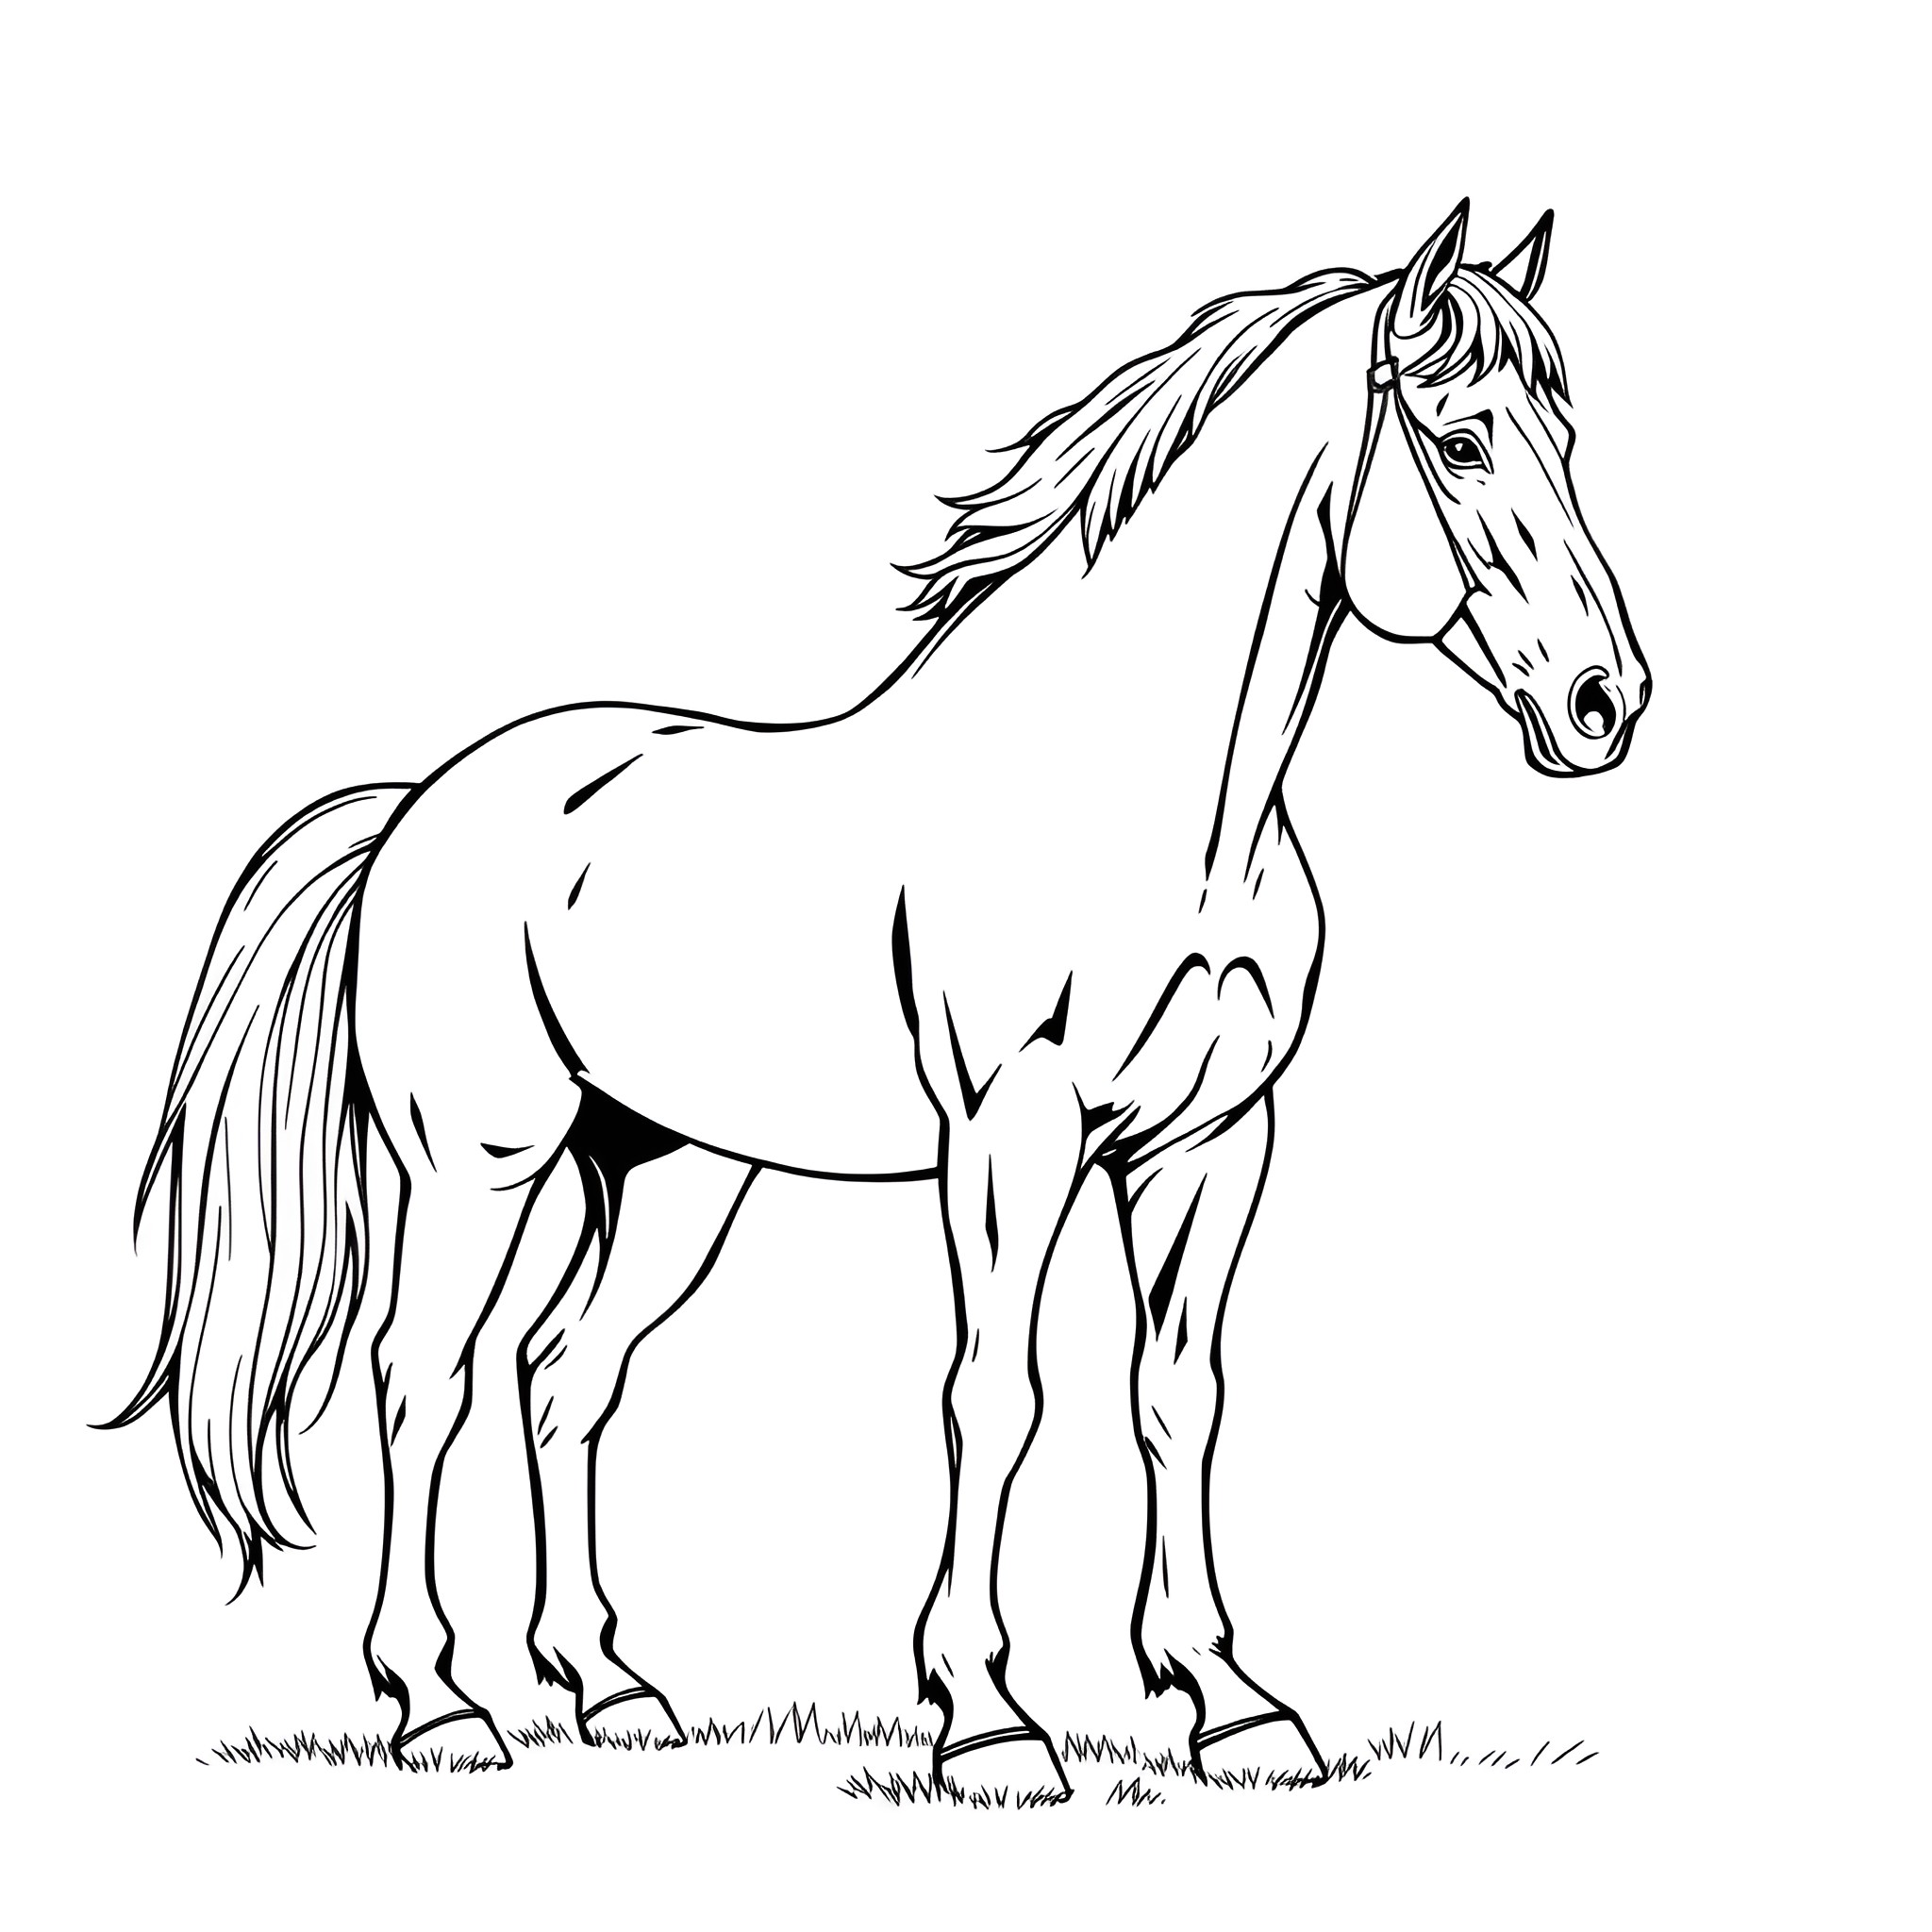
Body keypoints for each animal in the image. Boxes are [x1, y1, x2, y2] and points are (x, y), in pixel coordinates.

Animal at [113, 201, 1648, 1793]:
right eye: (1461, 441)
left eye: (1567, 437)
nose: (1605, 702)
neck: (1149, 803)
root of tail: (418, 807)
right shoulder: (1011, 1134)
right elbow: (998, 1393)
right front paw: (985, 1715)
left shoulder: (1212, 1144)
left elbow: (1179, 1398)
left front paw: (1230, 1702)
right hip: (481, 1164)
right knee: (421, 1379)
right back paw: (437, 1703)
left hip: (662, 1174)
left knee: (561, 1379)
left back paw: (608, 1686)